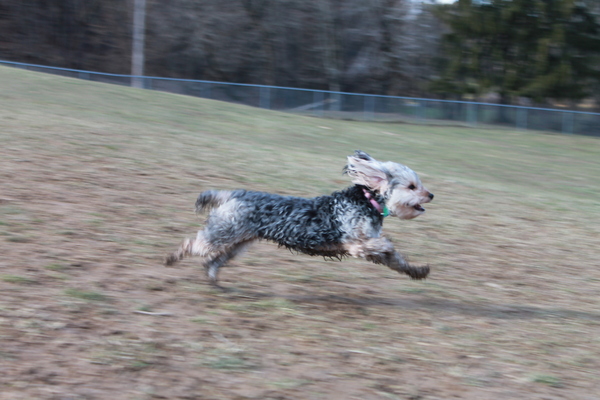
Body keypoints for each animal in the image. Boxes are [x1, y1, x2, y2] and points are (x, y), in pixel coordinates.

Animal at [166, 150, 434, 284]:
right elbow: (385, 244)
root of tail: (234, 193)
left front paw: (417, 271)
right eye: (412, 186)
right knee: (194, 244)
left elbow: (397, 261)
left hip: (237, 243)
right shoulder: (357, 244)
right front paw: (390, 244)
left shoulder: (370, 250)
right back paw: (172, 257)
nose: (431, 194)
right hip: (222, 233)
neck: (367, 200)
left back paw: (212, 277)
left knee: (213, 261)